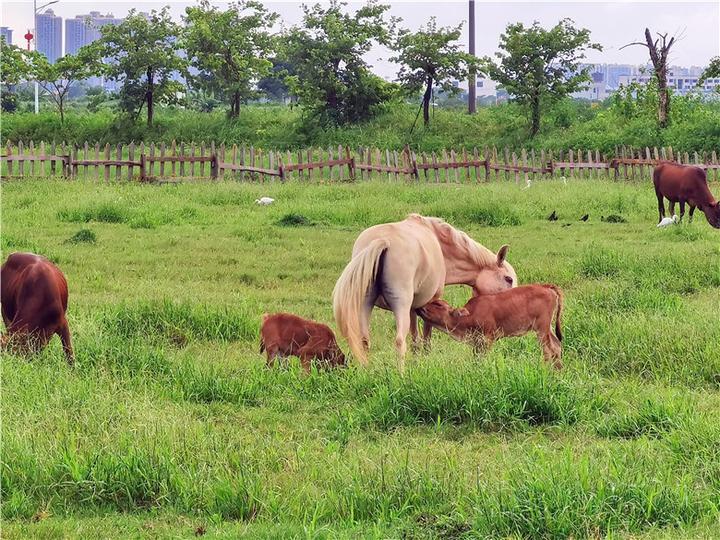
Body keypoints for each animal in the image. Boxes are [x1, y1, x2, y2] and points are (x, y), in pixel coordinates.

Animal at [332, 214, 516, 372]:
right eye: (508, 279)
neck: (440, 247)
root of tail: (382, 241)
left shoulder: (414, 308)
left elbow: (415, 339)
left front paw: (417, 362)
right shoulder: (429, 303)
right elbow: (426, 338)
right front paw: (425, 362)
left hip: (366, 304)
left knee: (364, 341)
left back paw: (367, 372)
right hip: (400, 306)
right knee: (399, 341)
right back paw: (401, 375)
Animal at [420, 282, 564, 368]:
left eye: (438, 304)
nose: (421, 305)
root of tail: (546, 286)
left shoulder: (488, 338)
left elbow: (483, 358)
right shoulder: (477, 342)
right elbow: (476, 358)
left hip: (542, 328)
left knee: (548, 350)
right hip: (547, 328)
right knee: (557, 346)